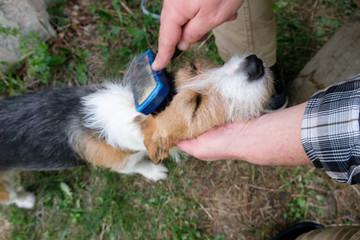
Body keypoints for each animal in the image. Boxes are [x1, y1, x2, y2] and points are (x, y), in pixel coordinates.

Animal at [0, 53, 272, 207]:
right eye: (195, 105)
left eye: (195, 67)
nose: (254, 64)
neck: (133, 113)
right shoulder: (121, 164)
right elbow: (139, 166)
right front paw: (154, 172)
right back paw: (25, 199)